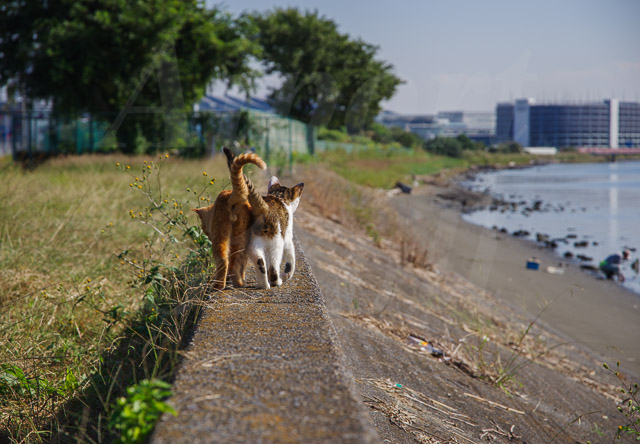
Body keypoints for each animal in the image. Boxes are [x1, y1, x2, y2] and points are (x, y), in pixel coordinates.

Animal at [194, 147, 266, 290]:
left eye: (203, 228)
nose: (206, 232)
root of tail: (230, 196)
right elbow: (243, 265)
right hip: (240, 238)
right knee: (234, 263)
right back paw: (239, 283)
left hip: (221, 236)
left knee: (224, 260)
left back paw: (219, 285)